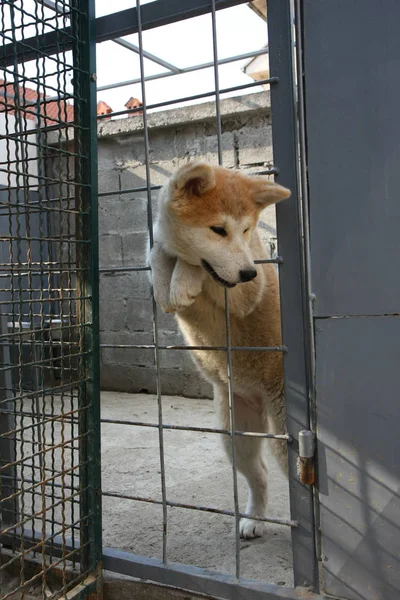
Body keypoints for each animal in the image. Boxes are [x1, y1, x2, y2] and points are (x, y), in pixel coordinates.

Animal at [148, 161, 292, 540]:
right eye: (218, 229)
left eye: (246, 230)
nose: (247, 271)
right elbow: (158, 254)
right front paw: (167, 282)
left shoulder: (247, 292)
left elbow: (196, 266)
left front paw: (182, 282)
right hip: (236, 437)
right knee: (259, 474)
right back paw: (255, 519)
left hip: (282, 435)